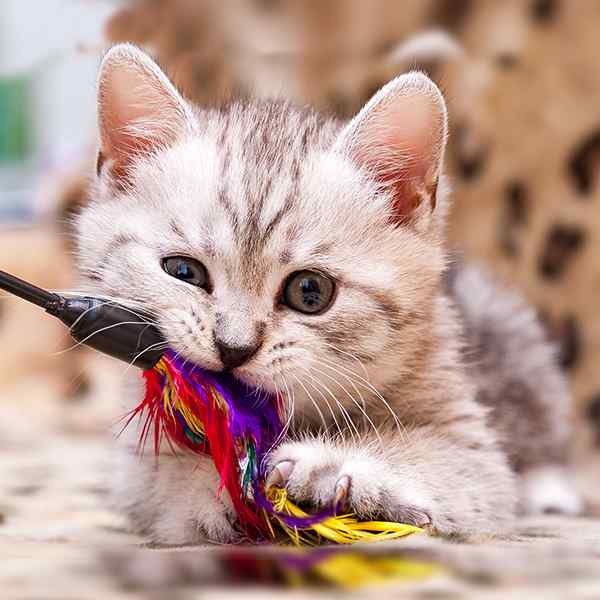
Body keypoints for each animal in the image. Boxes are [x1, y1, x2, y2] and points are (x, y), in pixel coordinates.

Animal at [76, 45, 580, 544]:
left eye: (310, 291)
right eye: (183, 271)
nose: (233, 347)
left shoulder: (471, 444)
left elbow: (456, 464)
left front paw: (332, 465)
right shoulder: (130, 465)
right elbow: (158, 478)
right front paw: (217, 482)